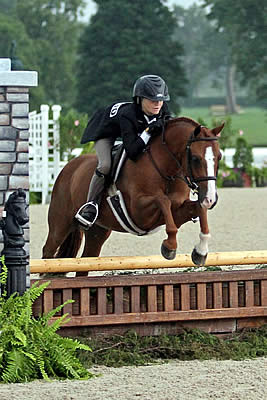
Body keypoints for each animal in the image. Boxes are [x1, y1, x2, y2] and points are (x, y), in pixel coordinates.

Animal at [43, 117, 224, 270]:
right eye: (195, 158)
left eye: (219, 157)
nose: (210, 199)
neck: (166, 169)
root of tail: (68, 167)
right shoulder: (139, 213)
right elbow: (163, 201)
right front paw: (169, 247)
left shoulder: (177, 211)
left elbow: (198, 209)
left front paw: (200, 252)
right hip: (60, 224)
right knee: (48, 252)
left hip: (97, 232)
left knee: (87, 259)